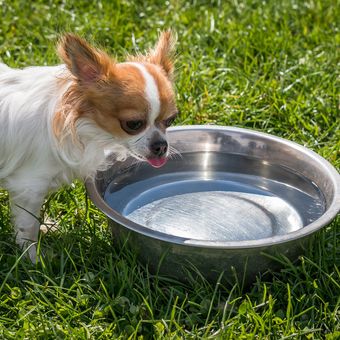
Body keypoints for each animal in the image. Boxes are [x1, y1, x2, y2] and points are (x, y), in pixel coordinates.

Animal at [0, 31, 179, 260]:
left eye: (170, 120)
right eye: (133, 124)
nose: (161, 145)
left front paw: (43, 230)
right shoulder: (29, 185)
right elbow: (27, 225)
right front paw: (33, 257)